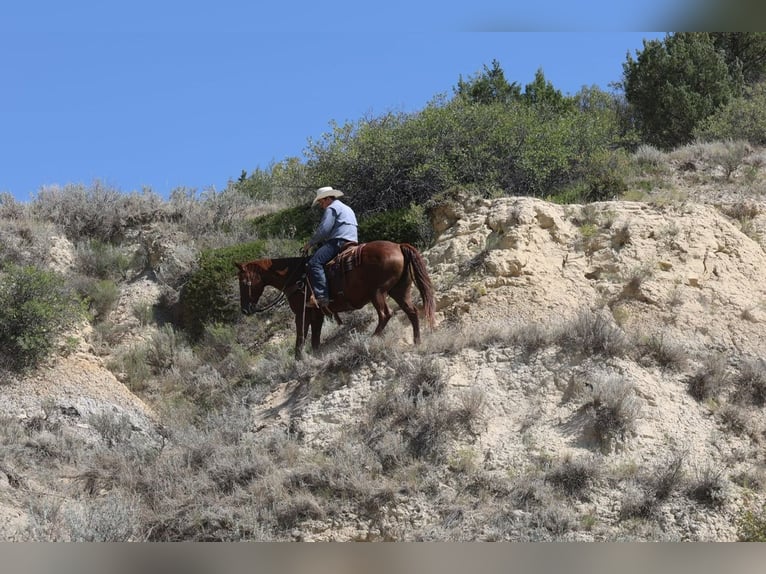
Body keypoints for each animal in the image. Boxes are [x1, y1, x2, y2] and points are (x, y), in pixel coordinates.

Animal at [235, 240, 436, 358]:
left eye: (243, 282)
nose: (245, 309)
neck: (295, 276)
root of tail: (398, 246)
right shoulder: (317, 314)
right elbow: (315, 340)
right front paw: (315, 357)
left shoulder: (302, 313)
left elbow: (301, 338)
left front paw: (298, 361)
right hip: (399, 290)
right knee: (412, 312)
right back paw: (417, 341)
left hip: (377, 292)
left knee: (385, 315)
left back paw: (370, 339)